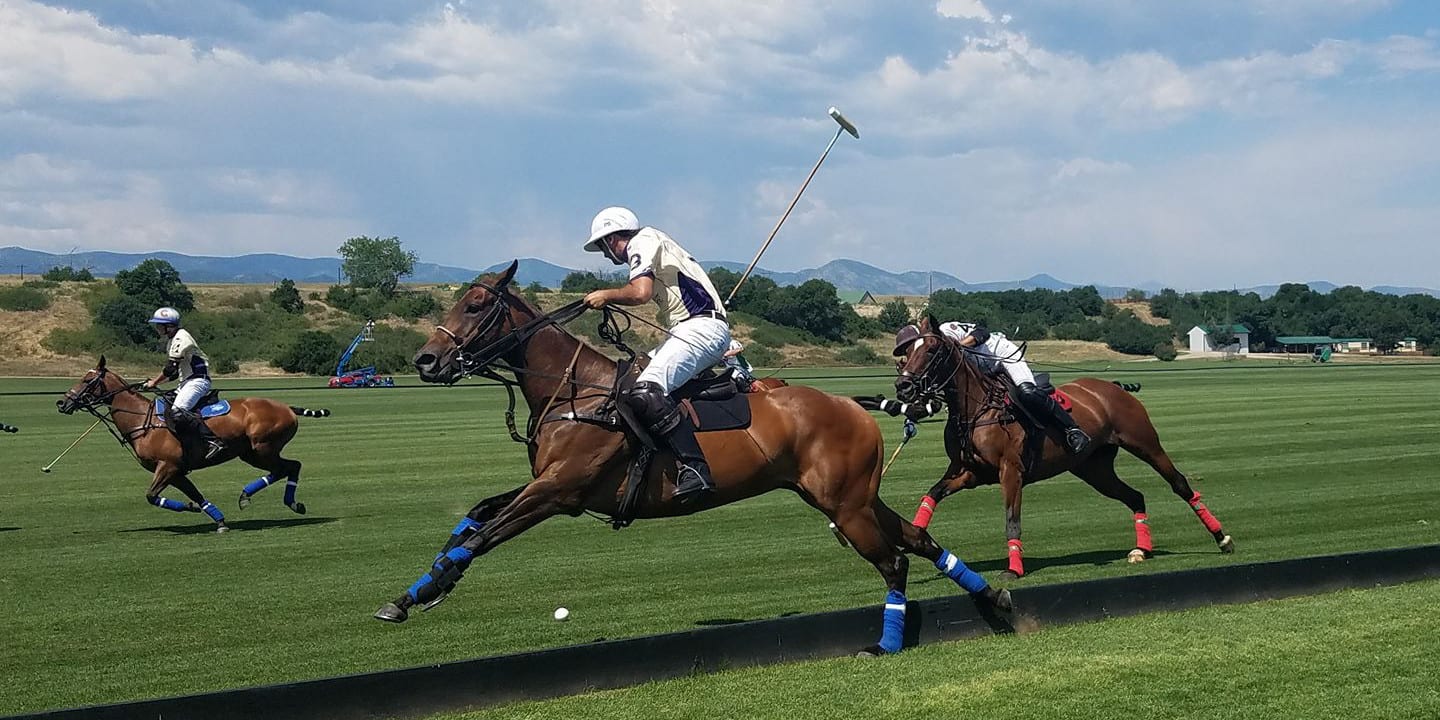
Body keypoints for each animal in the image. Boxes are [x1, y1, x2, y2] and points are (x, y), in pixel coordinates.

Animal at [58, 357, 331, 532]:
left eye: (87, 380)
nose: (62, 403)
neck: (143, 420)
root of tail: (288, 408)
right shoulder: (177, 471)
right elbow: (197, 495)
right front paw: (218, 521)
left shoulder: (168, 466)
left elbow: (151, 496)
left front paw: (190, 508)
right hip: (252, 453)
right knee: (287, 468)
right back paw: (258, 498)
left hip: (262, 448)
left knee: (290, 466)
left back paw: (280, 501)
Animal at [371, 262, 1013, 656]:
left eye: (477, 304)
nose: (426, 361)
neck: (576, 393)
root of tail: (851, 405)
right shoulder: (549, 487)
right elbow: (478, 514)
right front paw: (419, 589)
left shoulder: (557, 491)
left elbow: (482, 536)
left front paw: (420, 593)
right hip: (849, 496)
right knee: (918, 540)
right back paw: (995, 600)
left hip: (845, 505)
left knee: (895, 561)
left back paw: (887, 642)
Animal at [892, 318, 1232, 576]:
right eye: (906, 353)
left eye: (931, 350)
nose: (903, 387)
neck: (975, 408)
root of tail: (1114, 387)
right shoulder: (967, 472)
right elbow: (931, 495)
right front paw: (912, 538)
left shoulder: (1010, 471)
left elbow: (1012, 521)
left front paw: (1014, 569)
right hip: (1094, 469)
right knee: (1135, 496)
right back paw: (1142, 549)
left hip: (1145, 444)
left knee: (1179, 484)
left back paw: (1222, 538)